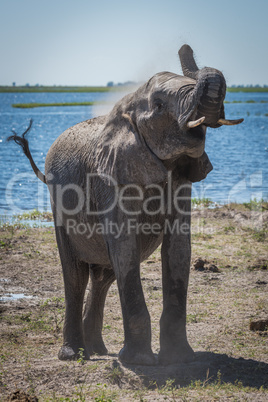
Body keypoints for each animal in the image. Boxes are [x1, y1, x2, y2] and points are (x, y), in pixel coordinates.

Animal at [7, 45, 243, 366]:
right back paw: (73, 355)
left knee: (104, 276)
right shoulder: (111, 180)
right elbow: (124, 245)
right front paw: (140, 362)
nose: (185, 47)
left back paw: (97, 351)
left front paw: (178, 359)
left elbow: (178, 248)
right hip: (58, 204)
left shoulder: (181, 179)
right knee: (76, 275)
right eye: (159, 105)